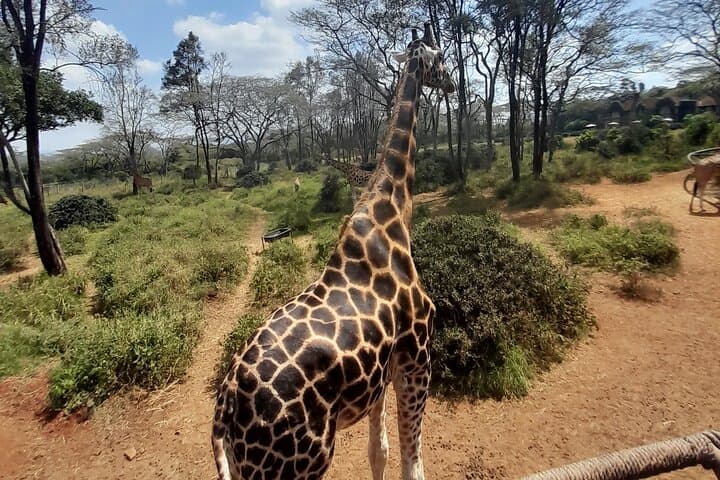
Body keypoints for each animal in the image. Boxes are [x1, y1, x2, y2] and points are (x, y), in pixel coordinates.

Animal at [212, 23, 455, 480]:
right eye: (442, 60)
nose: (451, 85)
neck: (393, 211)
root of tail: (225, 412)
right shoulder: (418, 354)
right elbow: (412, 461)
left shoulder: (381, 373)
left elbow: (378, 451)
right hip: (298, 464)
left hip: (244, 467)